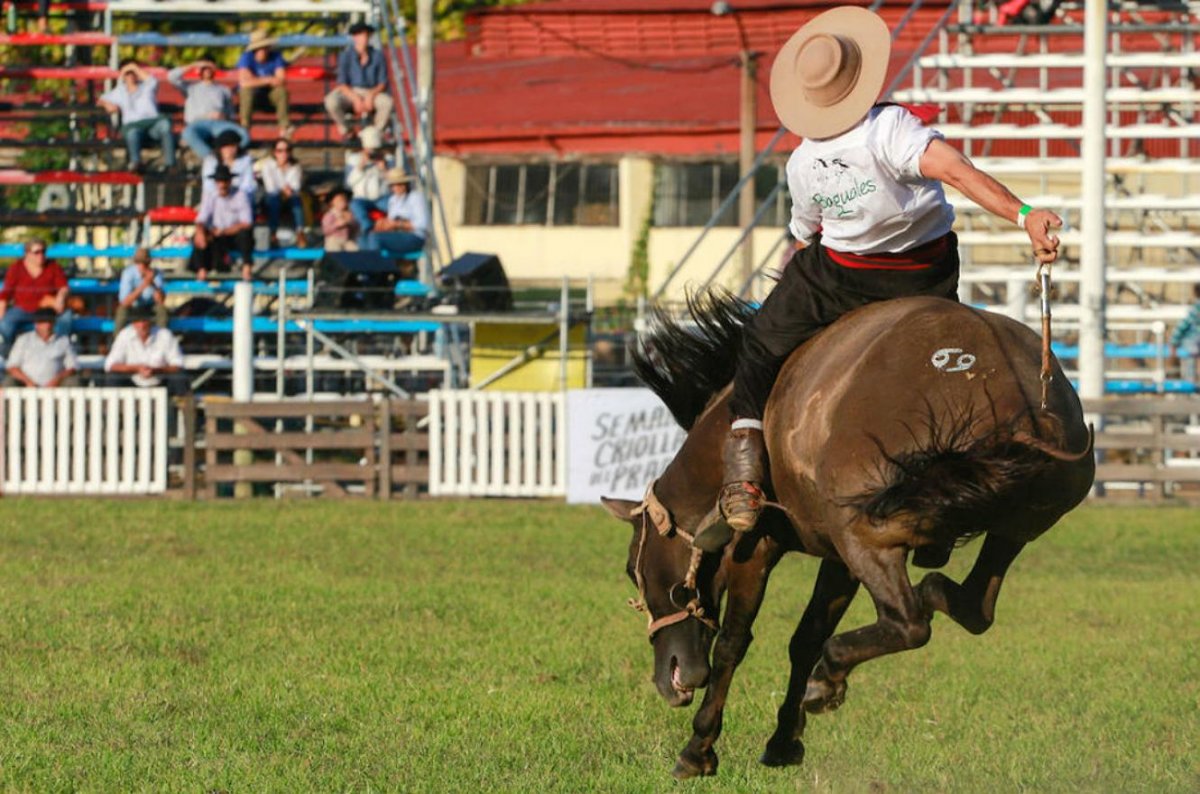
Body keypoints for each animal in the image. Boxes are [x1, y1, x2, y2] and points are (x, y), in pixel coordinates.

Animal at [604, 291, 1094, 777]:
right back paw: (925, 599)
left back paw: (830, 676)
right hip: (1015, 525)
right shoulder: (836, 557)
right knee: (973, 607)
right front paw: (783, 743)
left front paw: (698, 749)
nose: (673, 677)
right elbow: (804, 638)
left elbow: (733, 642)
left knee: (908, 623)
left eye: (631, 568)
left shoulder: (755, 545)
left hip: (868, 536)